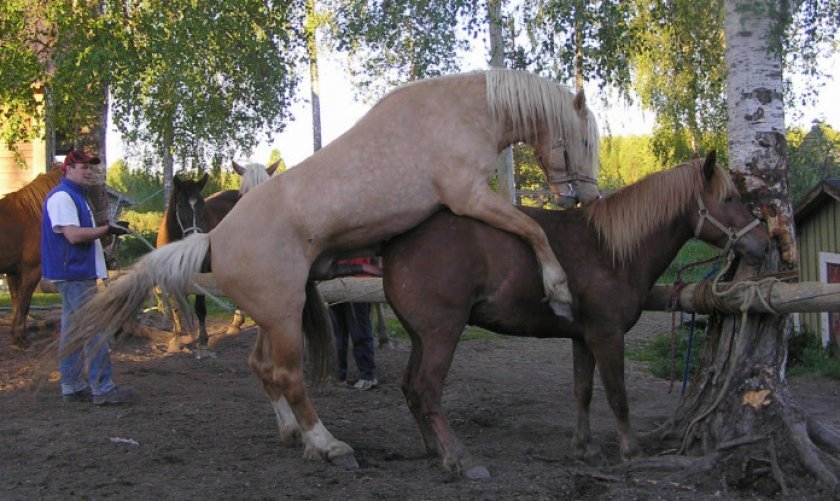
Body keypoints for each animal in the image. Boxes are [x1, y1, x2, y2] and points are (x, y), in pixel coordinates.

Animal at [0, 165, 110, 349]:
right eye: (95, 193)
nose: (108, 229)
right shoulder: (32, 270)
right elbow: (25, 303)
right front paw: (22, 338)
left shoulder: (13, 272)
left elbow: (16, 301)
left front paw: (16, 336)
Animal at [156, 161, 280, 355]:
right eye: (181, 205)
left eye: (202, 206)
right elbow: (177, 308)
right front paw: (176, 340)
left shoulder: (201, 270)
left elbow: (200, 307)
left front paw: (203, 339)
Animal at [380, 152, 769, 478]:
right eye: (729, 199)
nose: (764, 244)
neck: (610, 250)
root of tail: (399, 242)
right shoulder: (607, 335)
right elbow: (617, 395)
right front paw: (631, 451)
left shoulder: (584, 338)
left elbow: (583, 392)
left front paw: (585, 449)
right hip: (442, 334)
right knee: (428, 389)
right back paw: (460, 458)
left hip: (420, 337)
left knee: (410, 387)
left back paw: (435, 448)